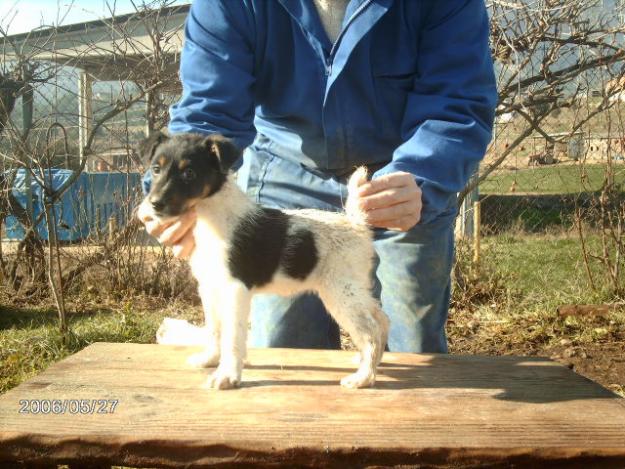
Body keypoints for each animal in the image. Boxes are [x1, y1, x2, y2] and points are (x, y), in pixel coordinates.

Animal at [139, 132, 388, 388]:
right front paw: (210, 359)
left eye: (189, 173)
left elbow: (232, 336)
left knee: (371, 332)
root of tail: (356, 223)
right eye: (156, 169)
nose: (154, 205)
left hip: (340, 294)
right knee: (381, 320)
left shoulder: (235, 289)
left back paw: (363, 377)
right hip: (354, 290)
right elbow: (214, 329)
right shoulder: (209, 287)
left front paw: (227, 375)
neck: (210, 216)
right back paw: (366, 361)